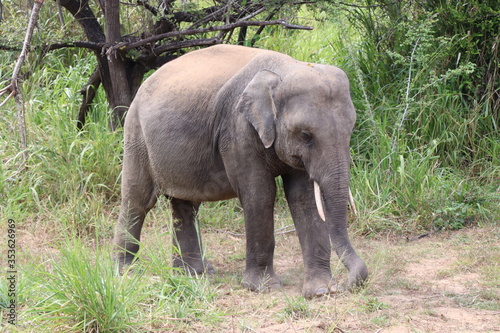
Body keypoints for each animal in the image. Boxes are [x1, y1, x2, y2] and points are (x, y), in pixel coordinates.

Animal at [115, 43, 370, 296]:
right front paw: (262, 288)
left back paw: (194, 272)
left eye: (351, 130)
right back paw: (128, 272)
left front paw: (320, 290)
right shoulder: (238, 130)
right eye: (306, 135)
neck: (285, 69)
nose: (347, 284)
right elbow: (260, 194)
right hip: (136, 134)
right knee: (137, 201)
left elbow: (303, 198)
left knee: (186, 205)